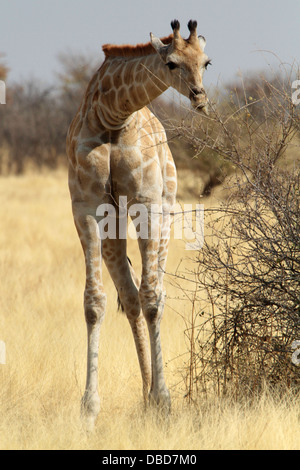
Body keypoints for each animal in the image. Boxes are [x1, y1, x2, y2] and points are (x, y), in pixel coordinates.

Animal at [66, 19, 210, 430]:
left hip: (166, 210)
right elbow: (95, 302)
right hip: (113, 225)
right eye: (172, 63)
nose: (200, 98)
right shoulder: (85, 206)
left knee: (152, 293)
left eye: (206, 62)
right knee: (129, 297)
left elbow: (152, 298)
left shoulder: (147, 204)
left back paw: (153, 397)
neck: (113, 115)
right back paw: (144, 394)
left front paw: (164, 400)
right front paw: (89, 409)